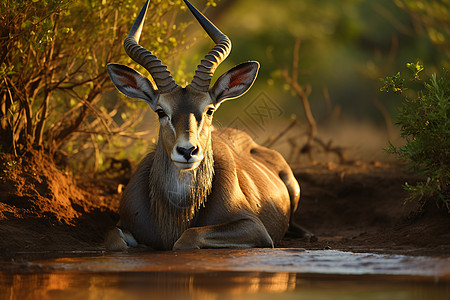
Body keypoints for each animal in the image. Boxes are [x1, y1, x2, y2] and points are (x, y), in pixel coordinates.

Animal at [105, 0, 310, 251]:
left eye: (209, 109)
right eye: (161, 111)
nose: (187, 151)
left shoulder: (255, 229)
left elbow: (187, 238)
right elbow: (114, 241)